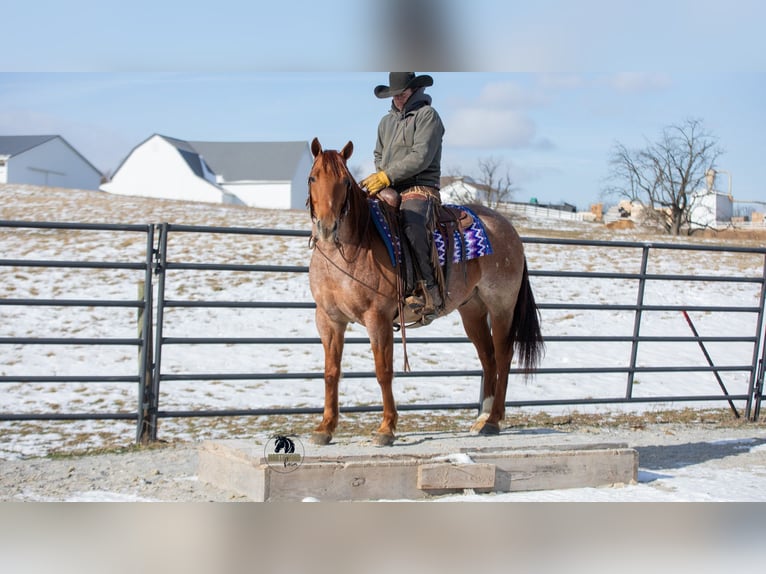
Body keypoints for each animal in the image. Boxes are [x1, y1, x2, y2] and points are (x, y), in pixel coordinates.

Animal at [307, 137, 543, 446]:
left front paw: (386, 428)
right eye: (312, 178)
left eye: (345, 182)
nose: (327, 227)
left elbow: (384, 371)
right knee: (488, 357)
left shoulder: (378, 319)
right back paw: (482, 419)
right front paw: (325, 427)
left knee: (503, 356)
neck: (353, 247)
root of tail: (507, 228)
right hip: (473, 311)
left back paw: (493, 421)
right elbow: (331, 372)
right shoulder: (329, 319)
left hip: (502, 306)